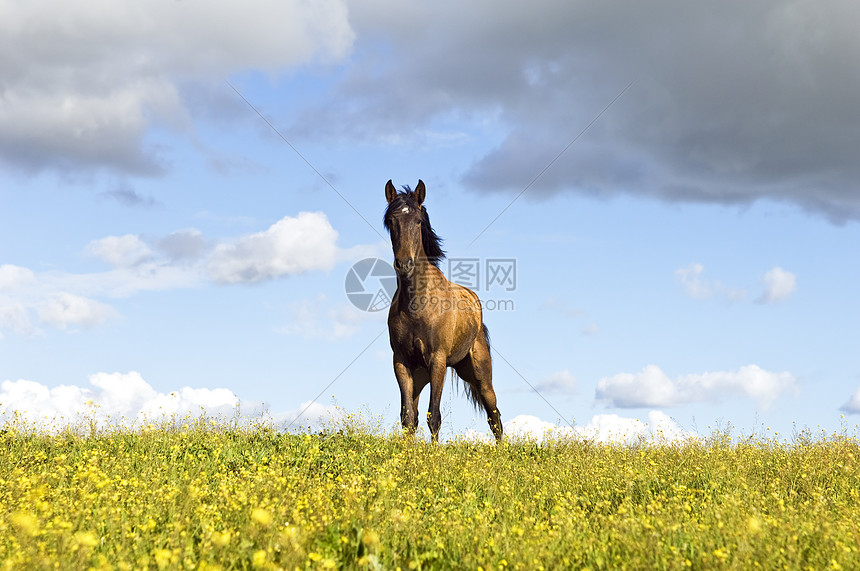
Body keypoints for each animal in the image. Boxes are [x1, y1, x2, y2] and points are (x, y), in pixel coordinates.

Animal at [384, 179, 504, 442]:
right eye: (390, 221)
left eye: (418, 221)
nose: (404, 264)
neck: (417, 305)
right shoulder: (401, 363)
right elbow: (408, 418)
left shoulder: (437, 361)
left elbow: (434, 416)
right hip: (420, 377)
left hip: (480, 375)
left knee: (495, 418)